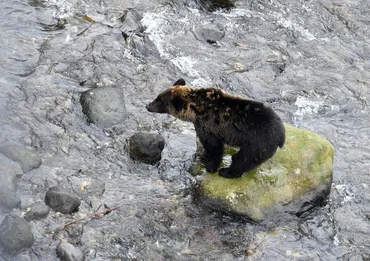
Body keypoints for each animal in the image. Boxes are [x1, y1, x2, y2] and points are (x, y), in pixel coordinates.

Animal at [146, 78, 284, 178]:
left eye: (160, 101)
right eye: (157, 96)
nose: (147, 106)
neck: (195, 111)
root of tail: (281, 134)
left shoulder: (208, 126)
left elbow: (214, 146)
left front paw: (211, 165)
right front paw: (204, 156)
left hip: (257, 142)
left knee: (245, 159)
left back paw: (227, 172)